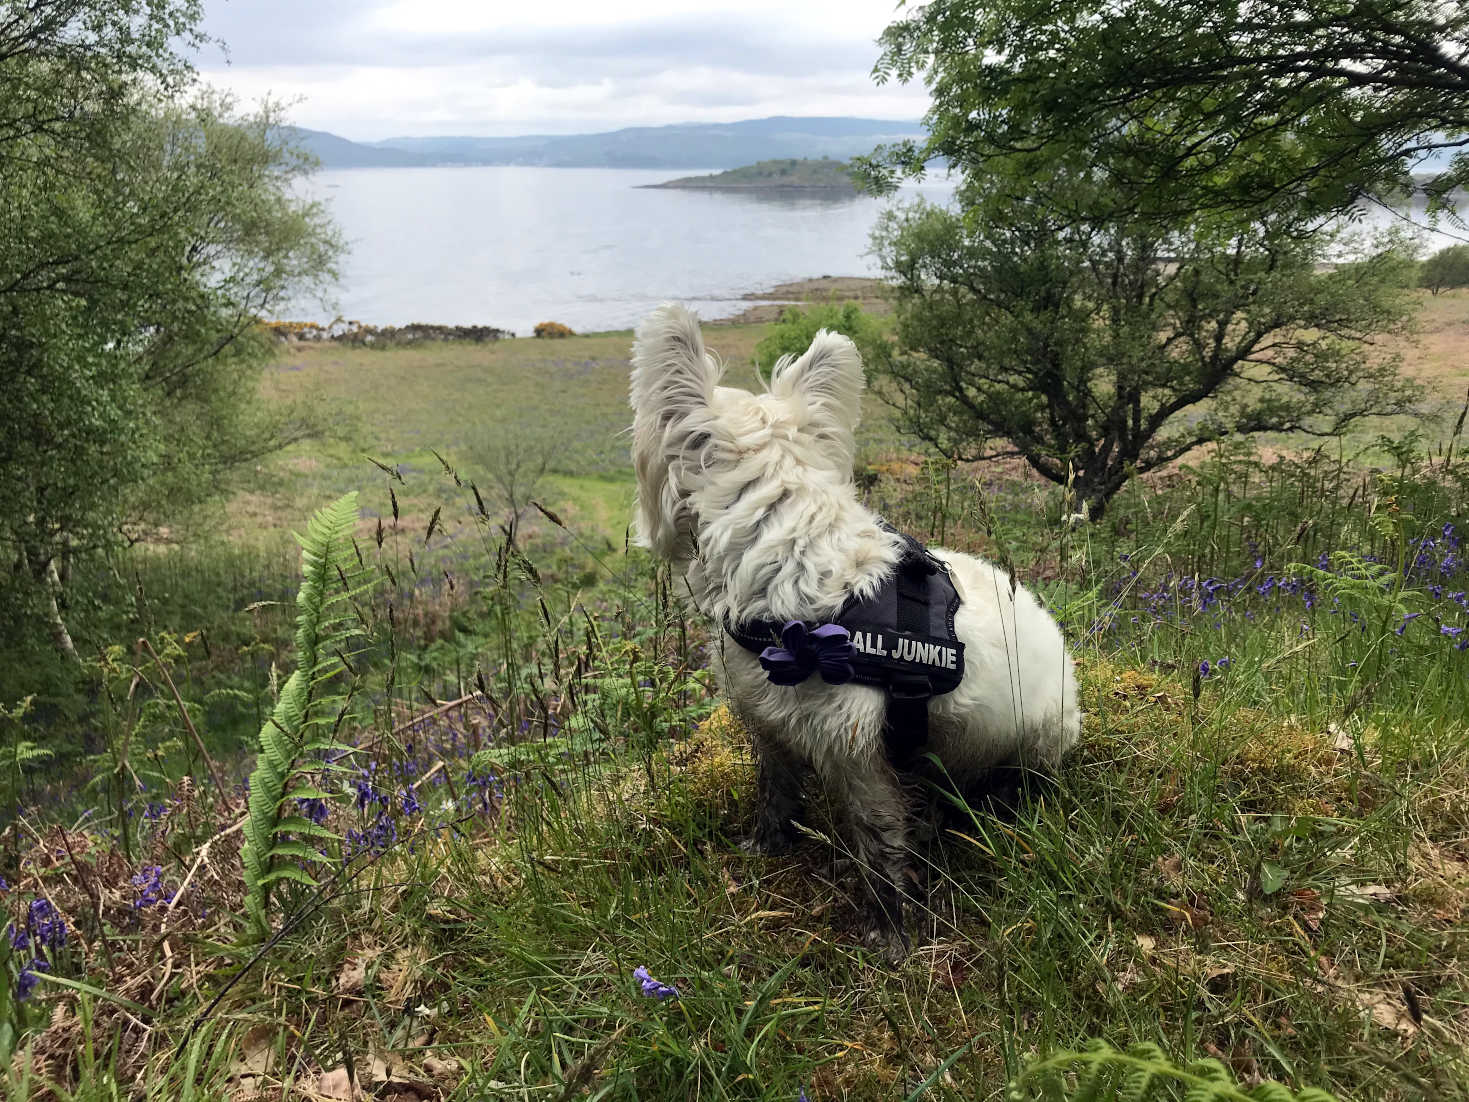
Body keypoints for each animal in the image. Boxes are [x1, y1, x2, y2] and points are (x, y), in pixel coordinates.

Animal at [631, 304, 1081, 958]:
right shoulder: (768, 724)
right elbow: (775, 790)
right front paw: (766, 846)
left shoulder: (857, 755)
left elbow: (877, 838)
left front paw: (887, 927)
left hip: (1037, 738)